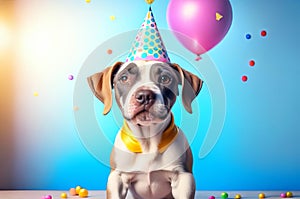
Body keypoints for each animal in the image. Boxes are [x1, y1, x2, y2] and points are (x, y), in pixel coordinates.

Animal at [88, 60, 203, 199]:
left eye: (165, 78)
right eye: (124, 78)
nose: (144, 95)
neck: (147, 141)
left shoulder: (183, 178)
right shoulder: (117, 177)